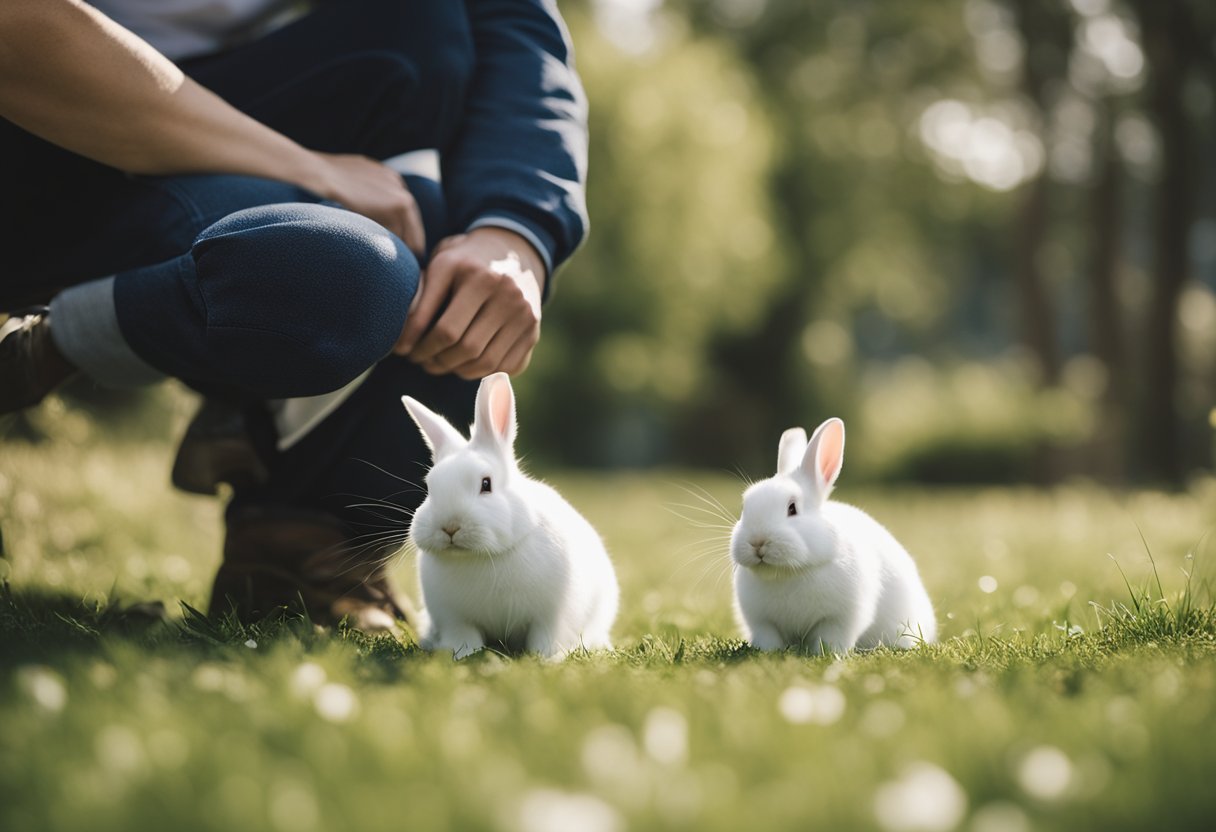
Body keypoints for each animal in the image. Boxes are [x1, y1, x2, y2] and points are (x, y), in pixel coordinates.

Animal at [403, 374, 622, 661]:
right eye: (429, 487)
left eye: (486, 484)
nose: (449, 527)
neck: (484, 557)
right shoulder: (455, 620)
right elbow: (464, 639)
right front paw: (461, 655)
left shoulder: (551, 616)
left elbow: (545, 637)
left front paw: (547, 659)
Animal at [724, 418, 933, 651]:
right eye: (745, 507)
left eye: (792, 508)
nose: (757, 542)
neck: (788, 573)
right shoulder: (762, 622)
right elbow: (769, 638)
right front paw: (767, 652)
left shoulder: (839, 619)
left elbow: (829, 638)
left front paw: (827, 653)